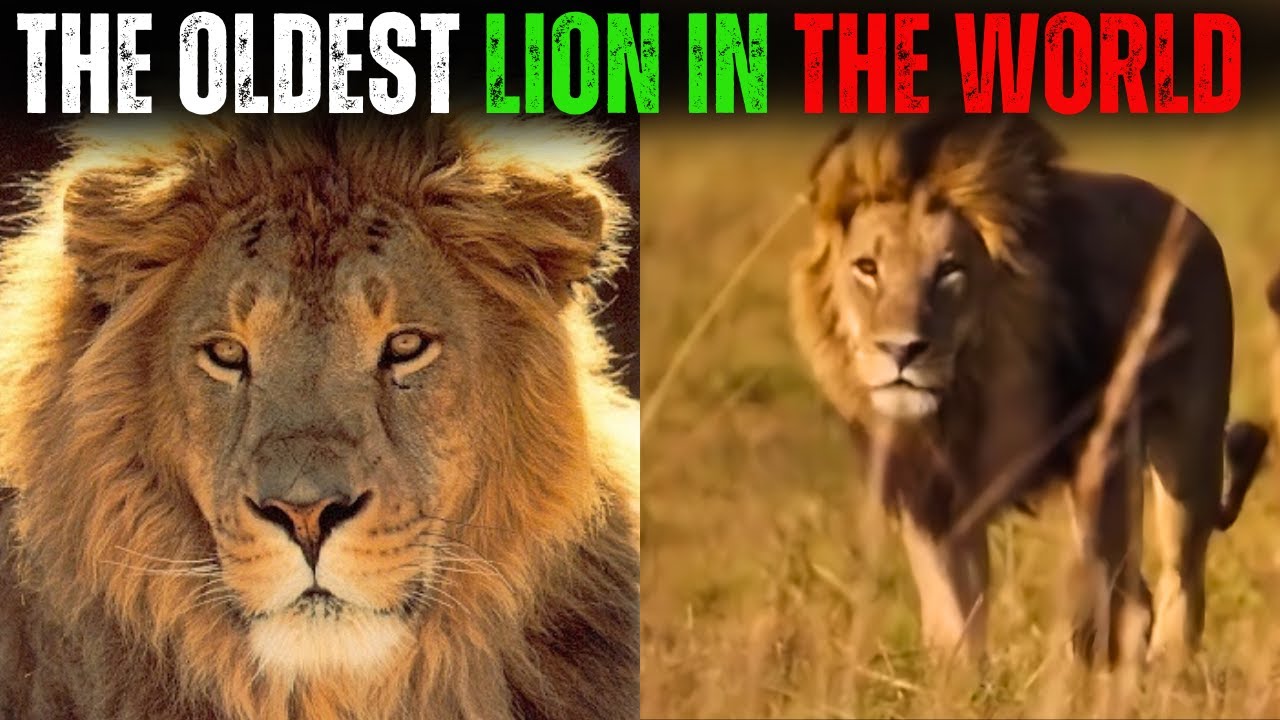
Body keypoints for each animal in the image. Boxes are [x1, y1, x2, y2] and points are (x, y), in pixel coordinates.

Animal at [791, 109, 1269, 667]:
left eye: (949, 269)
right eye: (867, 268)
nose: (902, 350)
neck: (962, 400)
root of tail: (1192, 219)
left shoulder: (1096, 452)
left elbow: (1101, 575)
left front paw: (1086, 650)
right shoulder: (930, 493)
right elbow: (952, 613)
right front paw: (960, 677)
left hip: (1186, 449)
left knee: (1178, 582)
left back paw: (1165, 666)